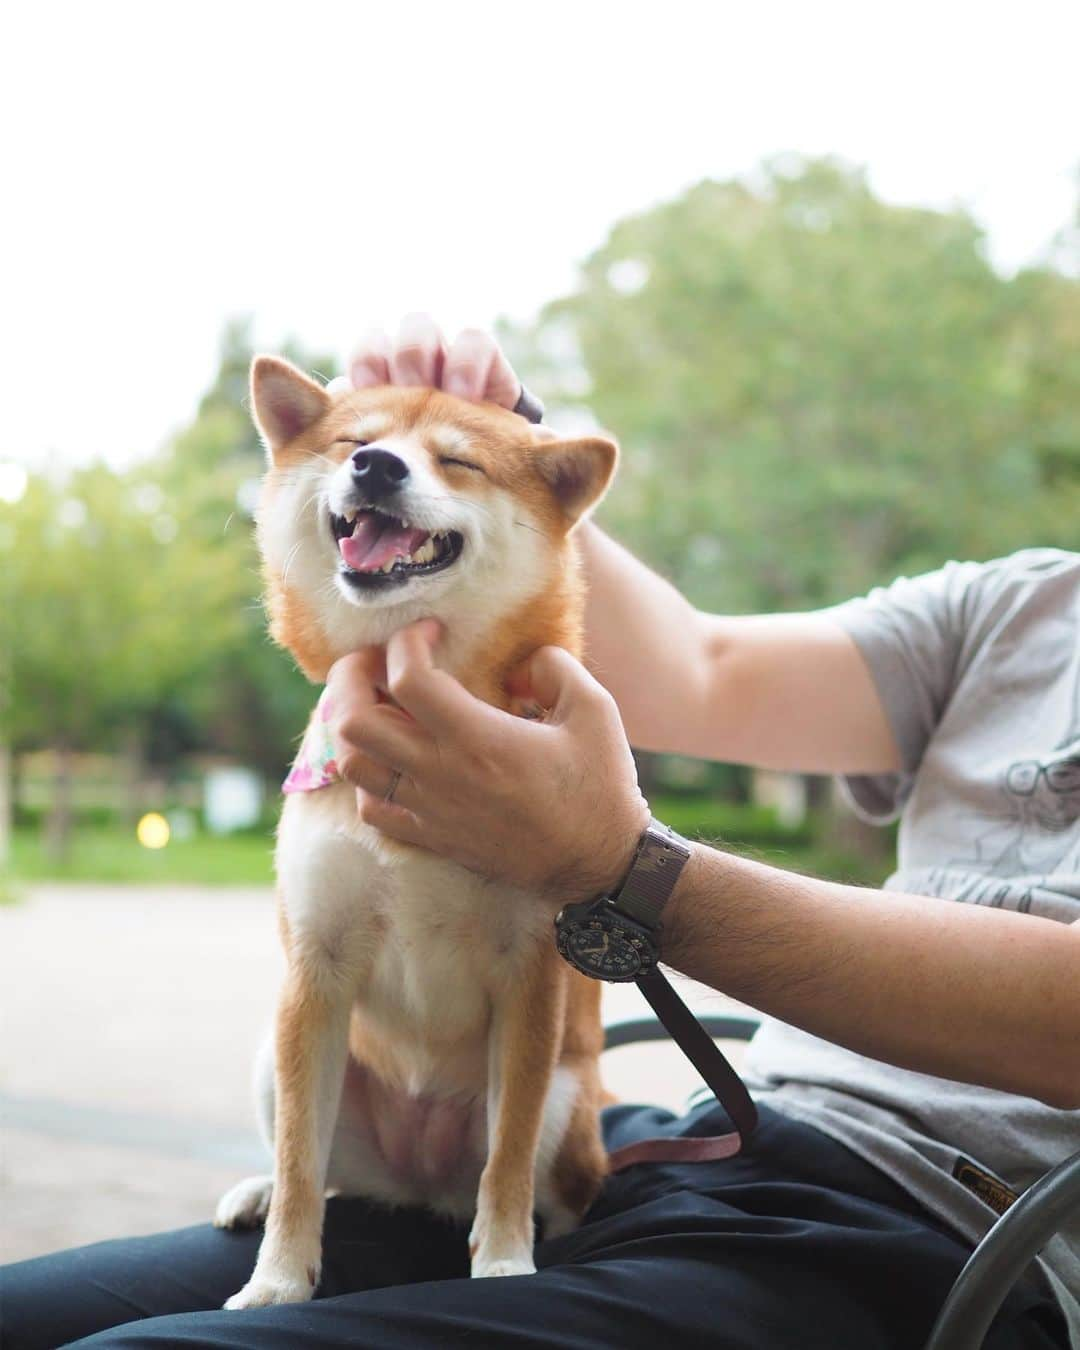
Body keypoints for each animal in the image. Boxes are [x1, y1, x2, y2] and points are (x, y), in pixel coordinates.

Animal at [214, 359, 615, 1306]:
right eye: (355, 444)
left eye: (458, 462)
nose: (379, 469)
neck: (412, 718)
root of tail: (422, 1186)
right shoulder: (315, 969)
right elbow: (299, 1164)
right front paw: (278, 1281)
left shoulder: (530, 979)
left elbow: (506, 1163)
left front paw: (504, 1263)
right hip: (276, 1059)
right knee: (320, 1171)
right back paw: (257, 1193)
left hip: (566, 1099)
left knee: (544, 1182)